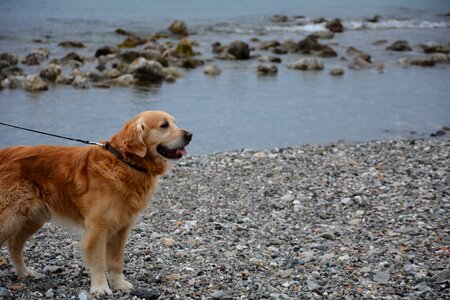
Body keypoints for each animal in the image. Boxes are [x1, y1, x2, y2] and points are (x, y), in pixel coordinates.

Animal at [0, 110, 192, 296]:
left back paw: (24, 272)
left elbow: (116, 261)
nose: (190, 135)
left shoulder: (122, 228)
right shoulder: (98, 227)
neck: (125, 162)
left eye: (174, 122)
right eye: (164, 125)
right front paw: (100, 287)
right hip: (10, 218)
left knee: (14, 244)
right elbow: (99, 261)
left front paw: (119, 284)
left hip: (32, 218)